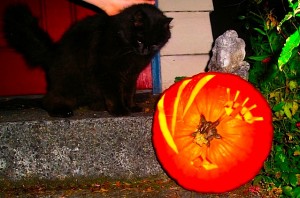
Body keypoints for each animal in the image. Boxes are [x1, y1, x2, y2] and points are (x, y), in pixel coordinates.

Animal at [3, 3, 171, 117]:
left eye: (155, 43)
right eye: (140, 41)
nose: (145, 51)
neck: (124, 44)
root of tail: (53, 52)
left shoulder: (131, 75)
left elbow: (129, 93)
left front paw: (131, 106)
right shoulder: (108, 72)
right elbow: (115, 94)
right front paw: (119, 110)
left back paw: (98, 106)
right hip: (70, 82)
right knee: (48, 99)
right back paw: (61, 111)